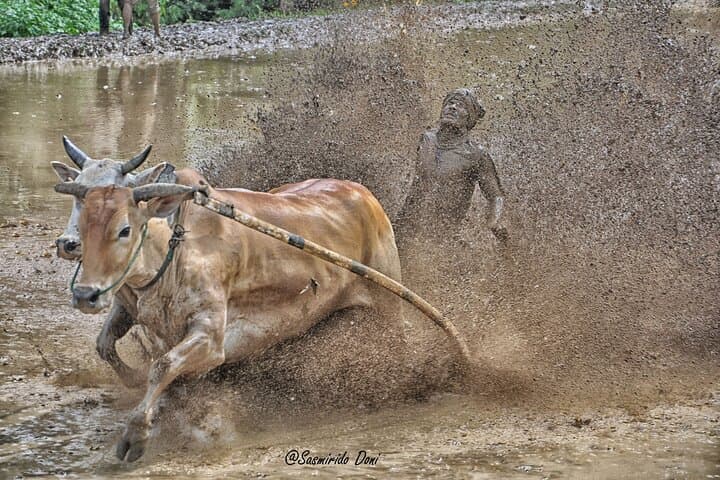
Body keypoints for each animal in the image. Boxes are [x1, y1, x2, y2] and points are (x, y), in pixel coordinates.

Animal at [54, 178, 417, 462]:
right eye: (83, 228)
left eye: (124, 230)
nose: (85, 294)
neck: (175, 251)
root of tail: (364, 194)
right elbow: (110, 347)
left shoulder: (211, 339)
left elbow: (163, 366)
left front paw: (136, 434)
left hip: (388, 306)